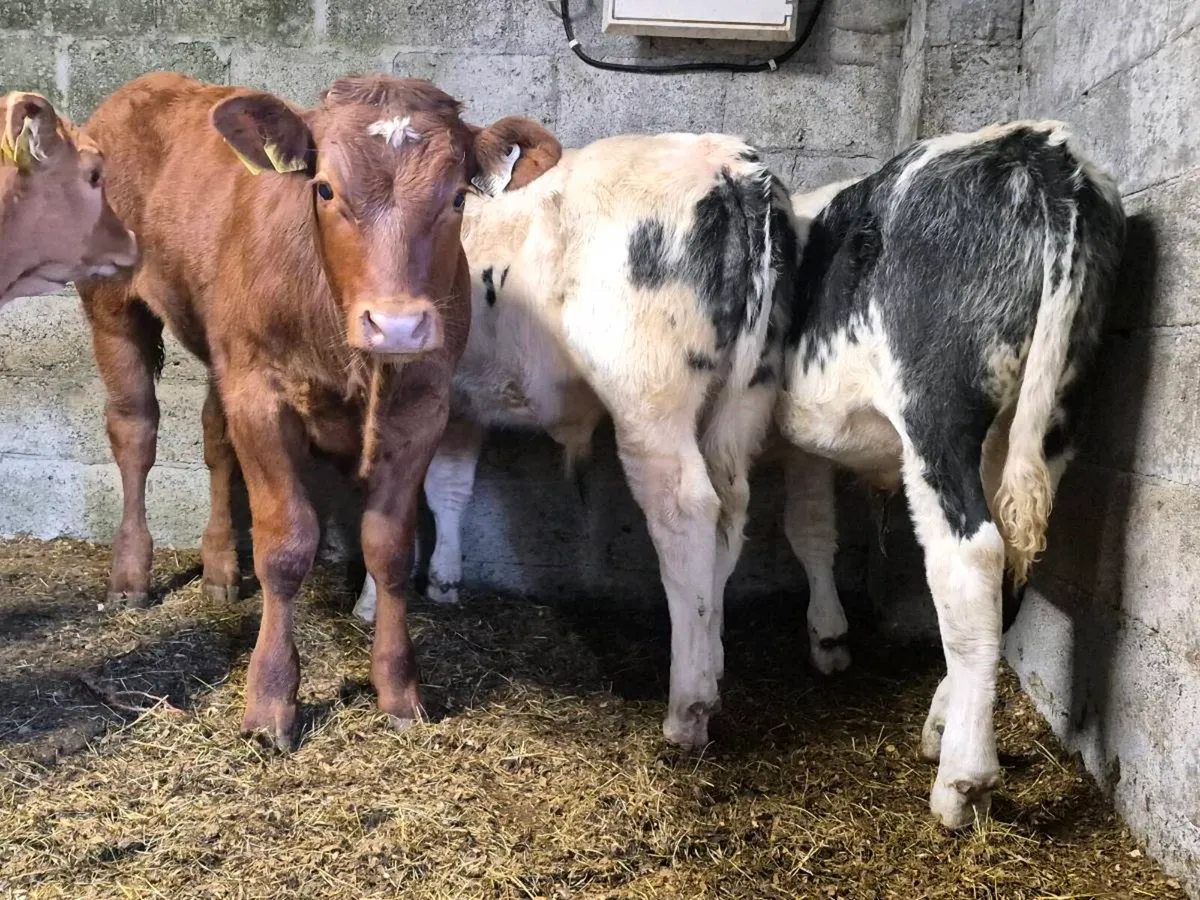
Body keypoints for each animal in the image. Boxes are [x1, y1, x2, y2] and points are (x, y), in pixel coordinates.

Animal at [76, 71, 560, 750]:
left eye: (458, 197)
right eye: (325, 188)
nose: (398, 325)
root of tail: (147, 85)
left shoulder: (422, 405)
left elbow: (390, 547)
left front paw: (399, 690)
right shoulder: (261, 395)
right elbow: (286, 545)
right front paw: (271, 701)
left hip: (221, 347)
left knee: (214, 437)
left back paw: (220, 569)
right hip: (112, 304)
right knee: (134, 431)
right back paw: (131, 576)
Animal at [355, 131, 799, 751]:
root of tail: (732, 164)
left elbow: (383, 504)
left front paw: (368, 603)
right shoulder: (459, 402)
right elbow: (449, 488)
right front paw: (444, 583)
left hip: (648, 394)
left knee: (685, 510)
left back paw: (686, 710)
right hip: (745, 398)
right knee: (730, 509)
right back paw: (712, 666)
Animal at [774, 120, 1125, 828]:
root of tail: (1036, 145)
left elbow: (808, 532)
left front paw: (827, 639)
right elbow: (815, 530)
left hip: (936, 412)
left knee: (970, 559)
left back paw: (963, 780)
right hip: (1054, 415)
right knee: (1010, 566)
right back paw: (944, 723)